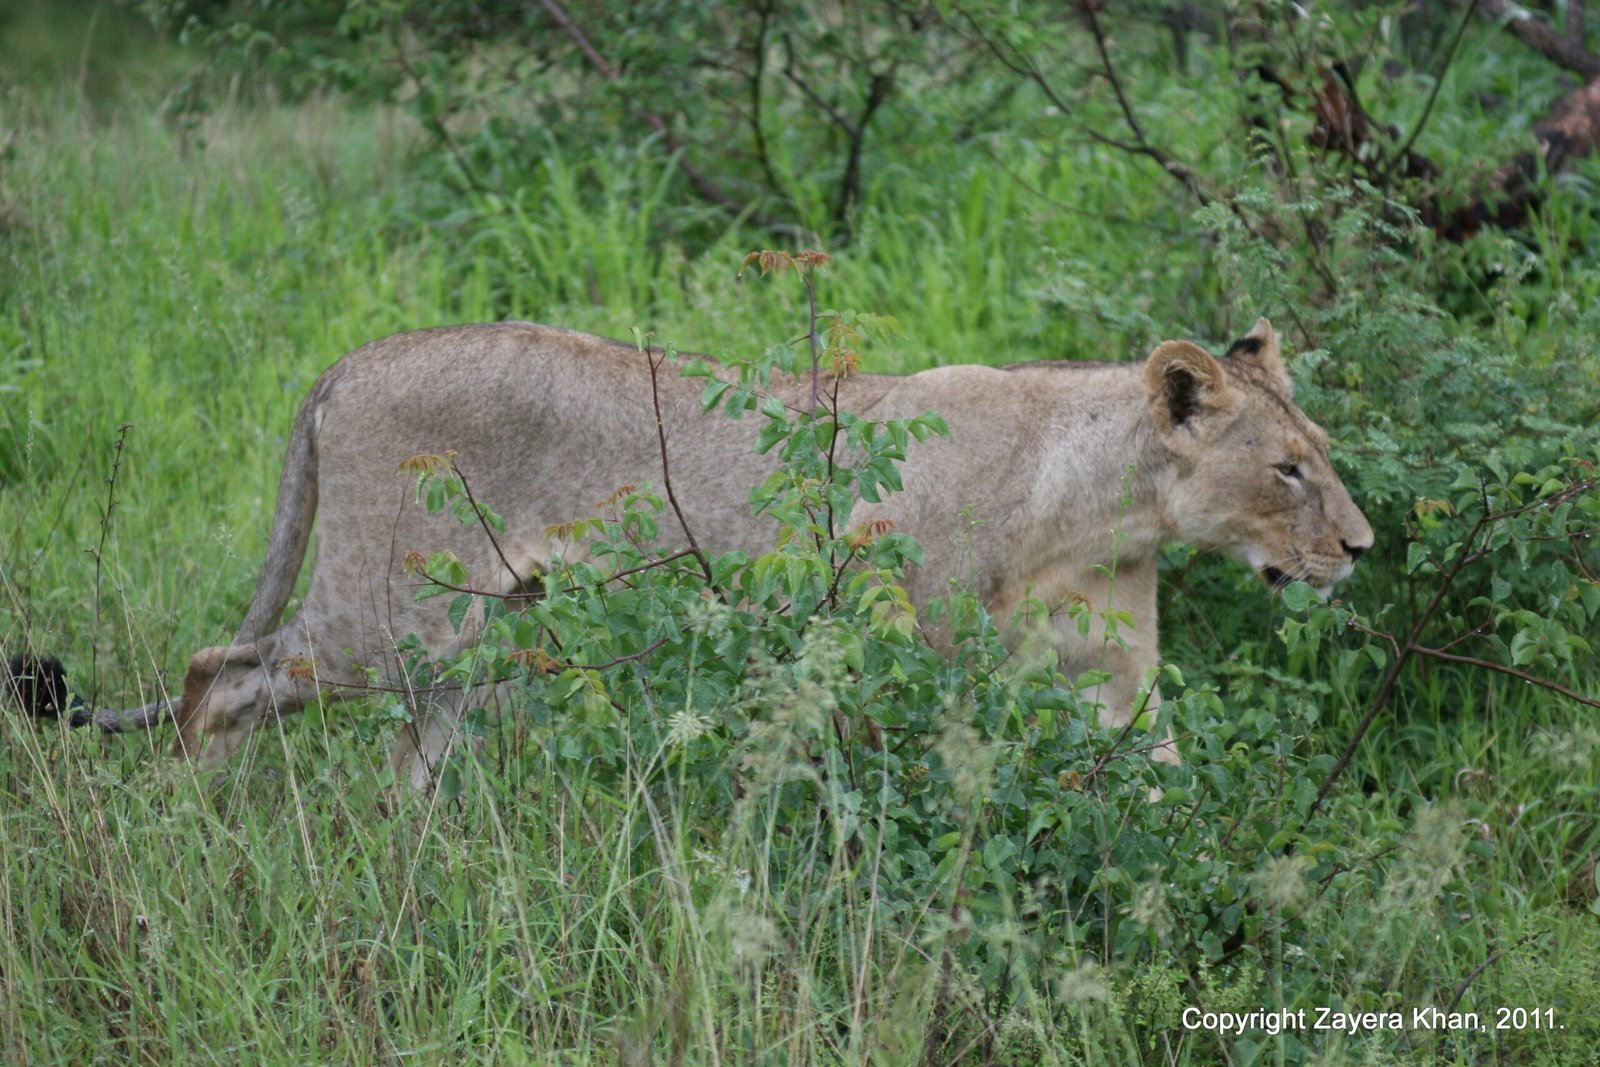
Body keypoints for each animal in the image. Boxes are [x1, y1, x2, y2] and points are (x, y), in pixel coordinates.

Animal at [33, 318, 1371, 786]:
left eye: (1319, 453)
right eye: (1287, 469)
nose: (1360, 546)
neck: (1092, 507)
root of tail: (351, 359)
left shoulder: (1115, 677)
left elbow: (1164, 786)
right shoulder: (897, 652)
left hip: (471, 643)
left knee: (411, 757)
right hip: (380, 612)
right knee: (218, 675)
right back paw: (192, 829)